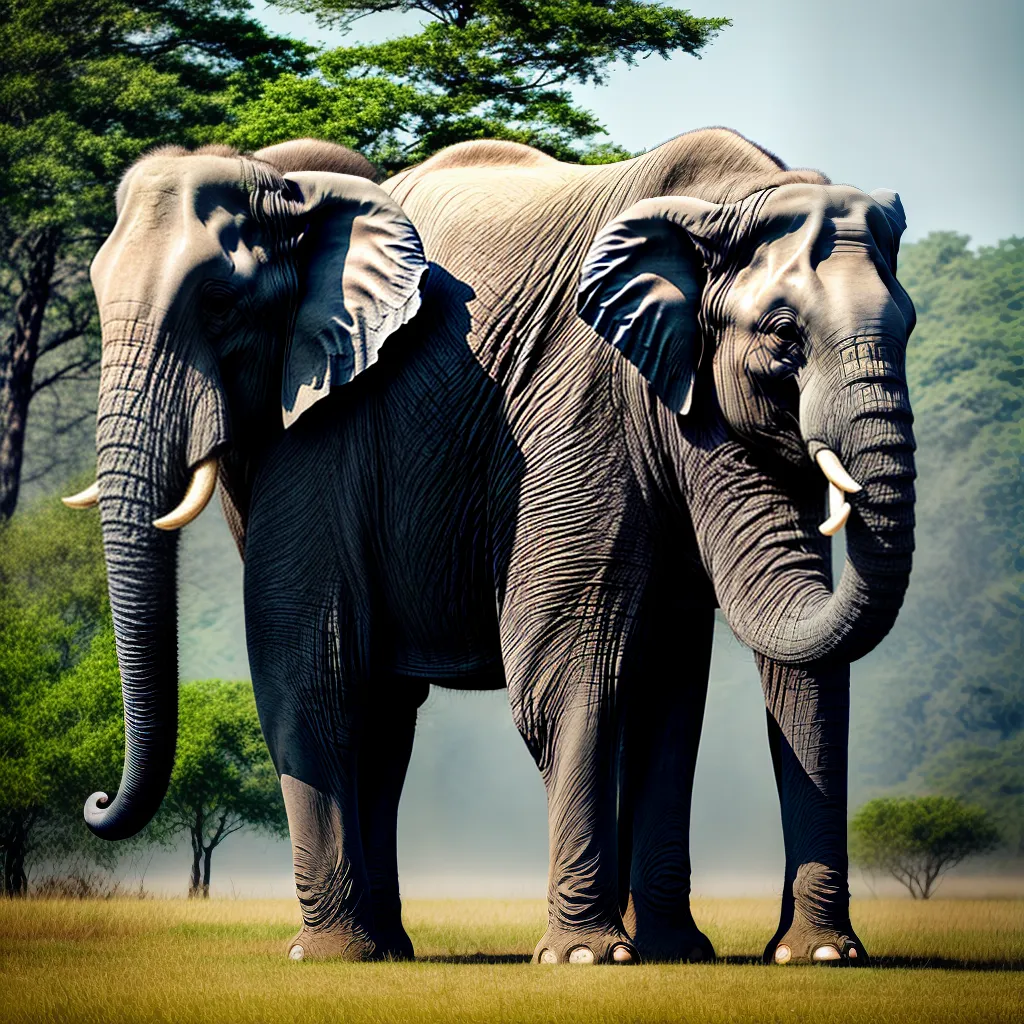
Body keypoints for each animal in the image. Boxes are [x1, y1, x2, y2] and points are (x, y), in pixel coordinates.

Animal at [66, 127, 916, 967]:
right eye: (784, 336)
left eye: (216, 303)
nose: (96, 801)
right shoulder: (359, 422)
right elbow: (334, 666)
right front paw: (589, 959)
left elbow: (700, 682)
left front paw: (795, 957)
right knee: (377, 702)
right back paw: (371, 951)